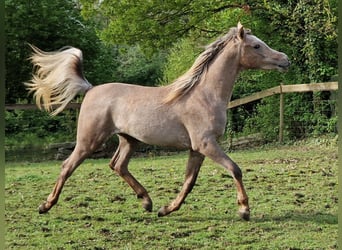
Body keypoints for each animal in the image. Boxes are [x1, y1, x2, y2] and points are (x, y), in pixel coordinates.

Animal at [25, 22, 290, 220]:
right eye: (256, 45)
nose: (285, 60)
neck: (204, 94)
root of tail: (90, 89)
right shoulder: (206, 144)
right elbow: (235, 169)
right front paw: (244, 210)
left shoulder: (197, 149)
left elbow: (189, 182)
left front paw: (166, 209)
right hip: (89, 141)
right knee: (67, 166)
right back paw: (45, 206)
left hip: (129, 139)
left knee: (118, 165)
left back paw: (147, 202)